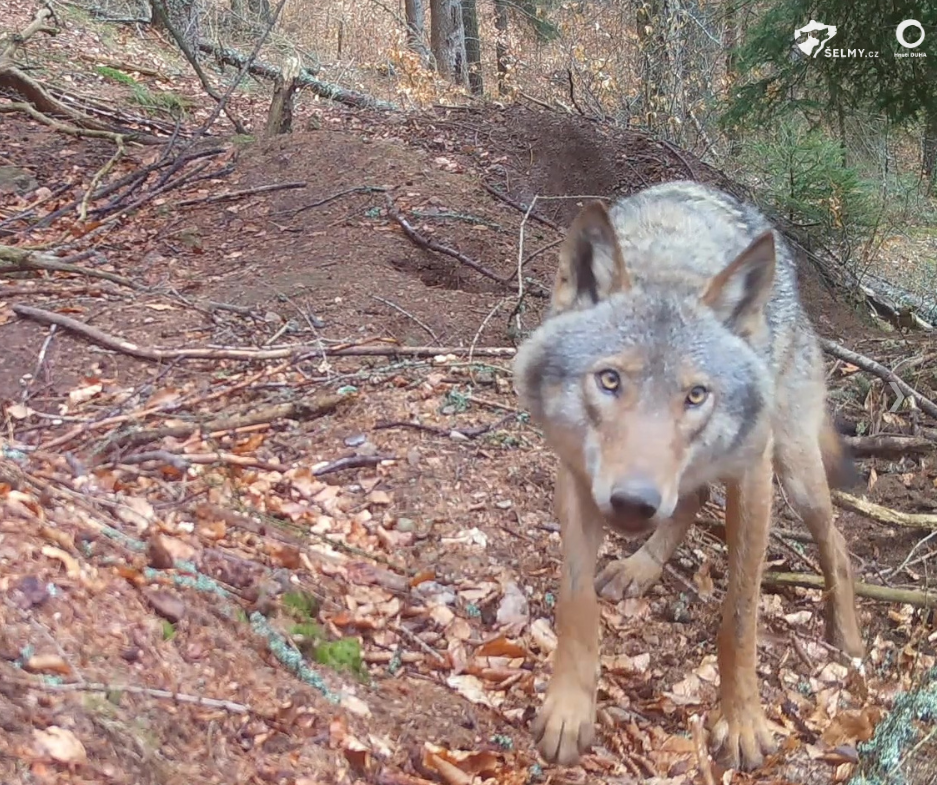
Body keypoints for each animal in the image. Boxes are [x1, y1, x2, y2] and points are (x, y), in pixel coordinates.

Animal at [512, 179, 864, 772]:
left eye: (695, 395)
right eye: (610, 380)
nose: (634, 502)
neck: (670, 272)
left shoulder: (753, 476)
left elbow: (739, 617)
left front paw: (742, 722)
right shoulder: (578, 475)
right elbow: (576, 603)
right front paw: (568, 711)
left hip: (795, 472)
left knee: (836, 541)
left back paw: (849, 636)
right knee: (693, 501)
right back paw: (640, 567)